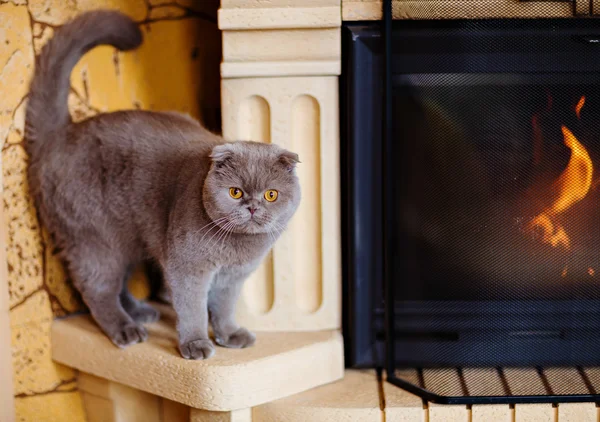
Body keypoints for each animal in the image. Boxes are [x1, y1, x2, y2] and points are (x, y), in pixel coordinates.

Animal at [25, 10, 302, 360]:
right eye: (235, 192)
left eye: (271, 194)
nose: (253, 206)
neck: (236, 249)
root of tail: (59, 134)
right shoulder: (188, 268)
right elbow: (193, 309)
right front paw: (196, 344)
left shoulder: (233, 277)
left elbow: (224, 308)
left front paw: (229, 335)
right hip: (95, 236)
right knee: (97, 287)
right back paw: (126, 329)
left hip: (128, 237)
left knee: (119, 283)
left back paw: (141, 312)